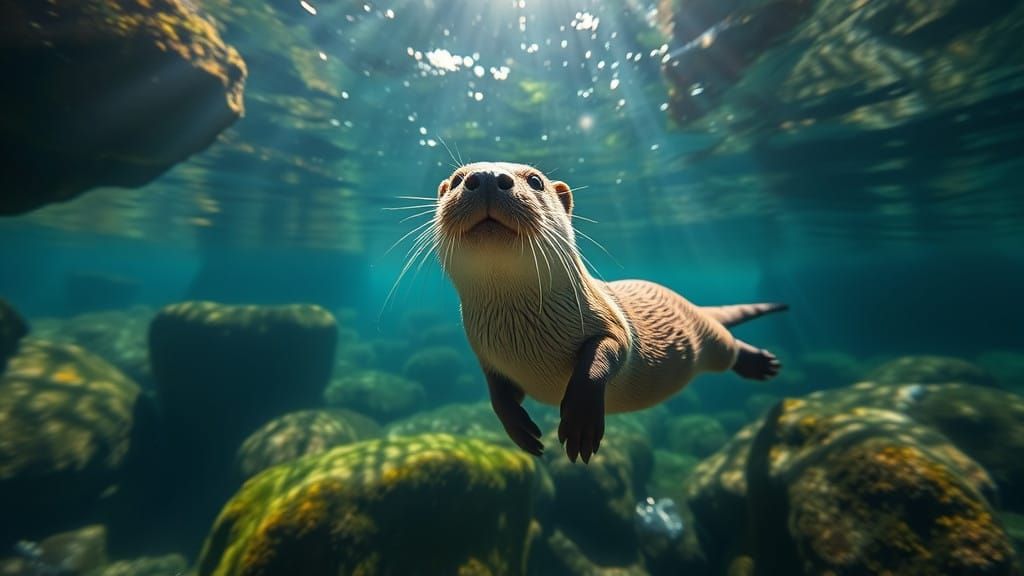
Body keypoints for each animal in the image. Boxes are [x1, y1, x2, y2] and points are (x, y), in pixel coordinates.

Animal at [432, 162, 787, 463]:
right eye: (458, 179)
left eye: (535, 181)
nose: (488, 176)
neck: (520, 333)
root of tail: (690, 304)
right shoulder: (485, 353)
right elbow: (497, 393)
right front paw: (519, 430)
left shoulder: (609, 320)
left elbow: (602, 356)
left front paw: (581, 423)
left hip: (709, 342)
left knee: (728, 345)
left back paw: (758, 362)